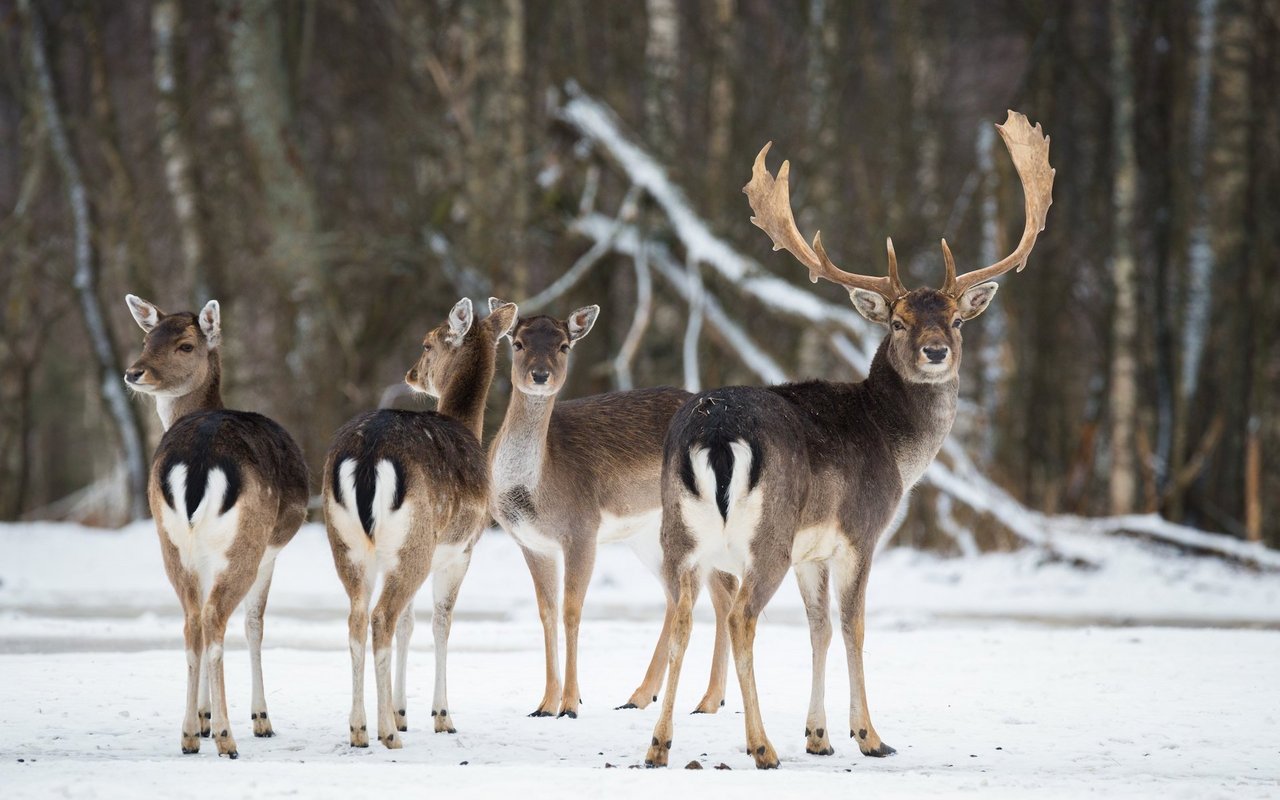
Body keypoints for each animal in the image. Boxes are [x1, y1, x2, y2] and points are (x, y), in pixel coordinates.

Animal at [121, 293, 309, 752]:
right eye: (147, 338)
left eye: (184, 345)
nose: (134, 372)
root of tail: (200, 460)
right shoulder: (269, 552)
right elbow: (255, 625)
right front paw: (259, 719)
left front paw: (203, 718)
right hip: (244, 542)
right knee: (216, 620)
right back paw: (227, 736)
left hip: (170, 542)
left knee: (193, 620)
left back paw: (190, 733)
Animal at [322, 296, 517, 747]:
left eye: (427, 344)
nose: (411, 374)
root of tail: (368, 456)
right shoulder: (461, 549)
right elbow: (442, 623)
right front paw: (440, 715)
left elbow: (411, 625)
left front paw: (403, 710)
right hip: (412, 541)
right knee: (381, 617)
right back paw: (387, 732)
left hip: (349, 543)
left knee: (358, 618)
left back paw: (359, 728)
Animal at [483, 302, 737, 721]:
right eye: (517, 343)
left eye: (564, 345)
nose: (540, 375)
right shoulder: (531, 543)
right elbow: (546, 611)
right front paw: (544, 704)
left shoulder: (582, 528)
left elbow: (572, 610)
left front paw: (570, 704)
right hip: (648, 535)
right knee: (682, 594)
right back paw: (641, 696)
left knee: (718, 591)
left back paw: (708, 700)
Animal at [645, 112, 1054, 768]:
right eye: (899, 322)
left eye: (956, 320)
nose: (935, 351)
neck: (896, 447)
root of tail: (715, 433)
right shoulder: (861, 530)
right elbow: (853, 626)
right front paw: (870, 736)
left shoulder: (813, 552)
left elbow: (817, 629)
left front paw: (819, 736)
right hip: (767, 536)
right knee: (740, 618)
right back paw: (761, 747)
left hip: (677, 534)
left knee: (681, 617)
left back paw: (659, 745)